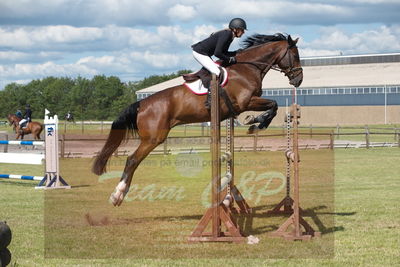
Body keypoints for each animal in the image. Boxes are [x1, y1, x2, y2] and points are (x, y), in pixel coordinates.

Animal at [92, 33, 302, 207]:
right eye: (295, 55)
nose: (298, 80)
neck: (247, 68)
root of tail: (141, 104)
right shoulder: (246, 102)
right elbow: (273, 105)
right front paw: (256, 123)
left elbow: (273, 106)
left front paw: (255, 122)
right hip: (154, 138)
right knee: (132, 160)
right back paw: (118, 195)